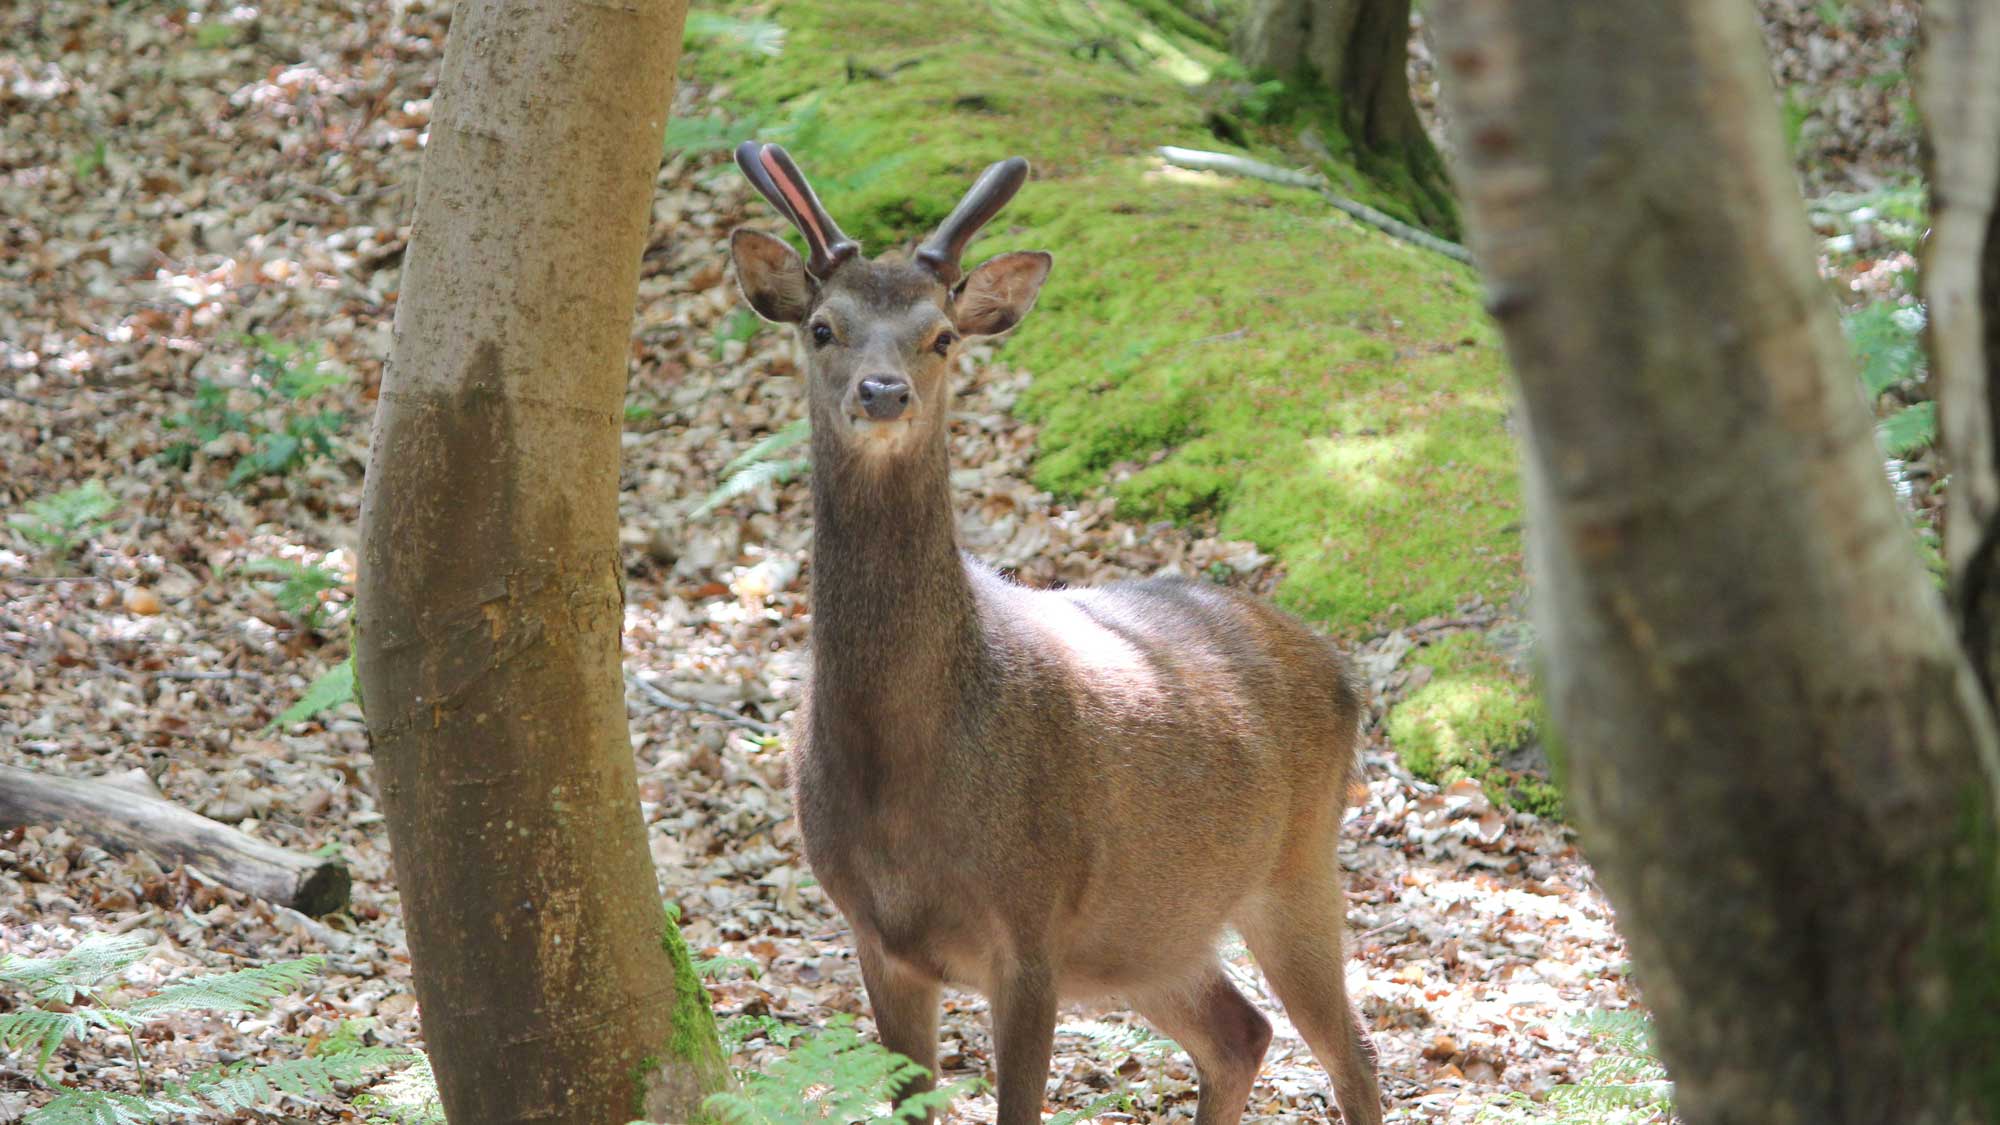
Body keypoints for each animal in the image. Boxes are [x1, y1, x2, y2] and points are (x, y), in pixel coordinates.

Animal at [727, 141, 1386, 1125]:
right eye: (821, 327)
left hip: (1298, 866)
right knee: (1240, 1032)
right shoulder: (876, 936)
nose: (882, 392)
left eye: (942, 335)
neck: (906, 771)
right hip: (1147, 931)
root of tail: (1345, 670)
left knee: (1354, 1052)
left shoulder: (1030, 925)